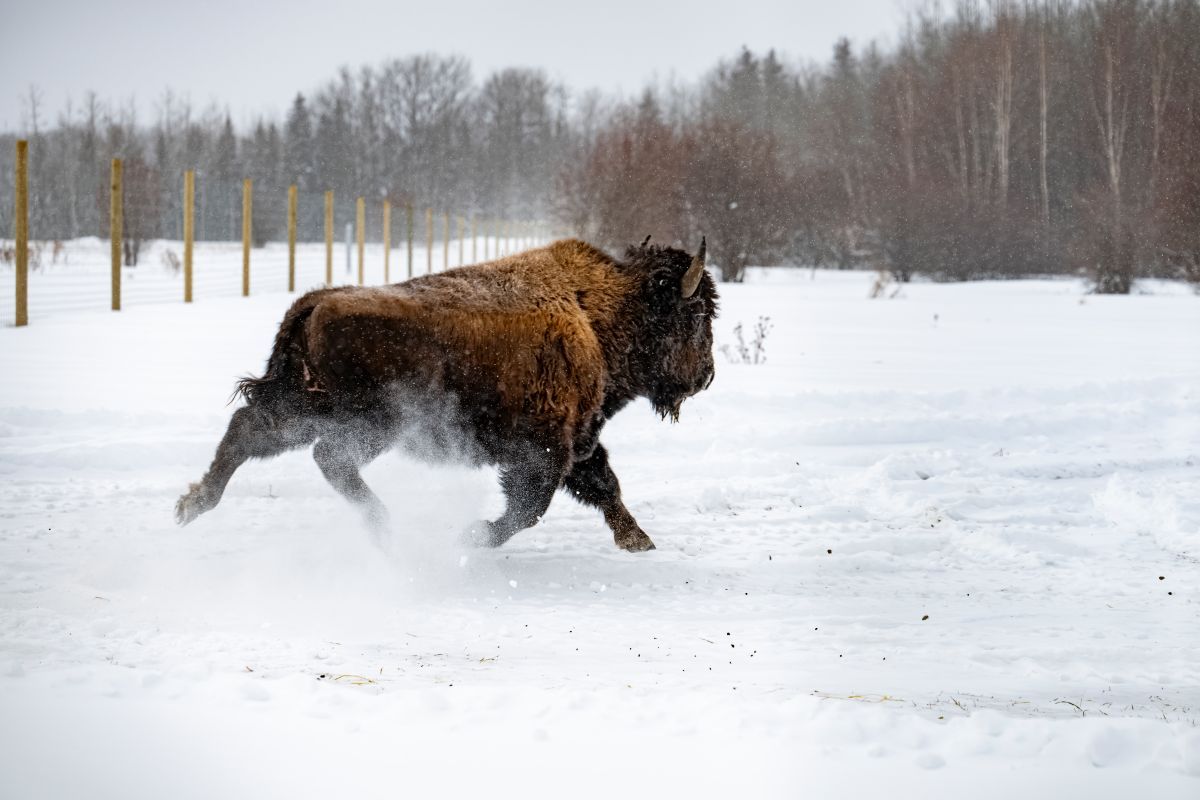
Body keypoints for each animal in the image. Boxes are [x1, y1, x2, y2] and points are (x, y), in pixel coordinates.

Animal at [176, 237, 717, 551]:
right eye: (694, 315)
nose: (706, 375)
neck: (598, 313)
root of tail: (314, 304)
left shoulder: (578, 444)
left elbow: (604, 486)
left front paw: (638, 541)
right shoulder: (544, 451)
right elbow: (528, 508)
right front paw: (472, 537)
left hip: (305, 409)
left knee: (250, 432)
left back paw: (192, 504)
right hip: (370, 425)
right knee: (326, 457)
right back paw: (385, 529)